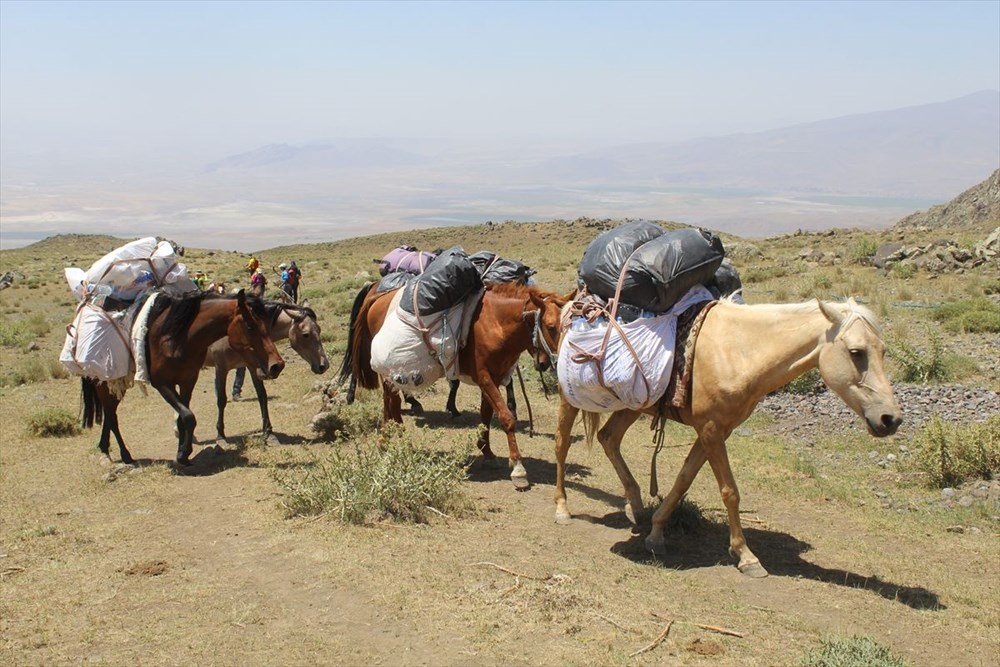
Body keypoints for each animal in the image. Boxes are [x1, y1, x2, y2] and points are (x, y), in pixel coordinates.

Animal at [81, 290, 286, 468]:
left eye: (268, 325)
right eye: (250, 326)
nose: (277, 365)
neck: (178, 339)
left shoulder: (188, 381)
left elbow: (183, 416)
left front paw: (183, 452)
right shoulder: (163, 383)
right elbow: (189, 416)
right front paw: (183, 454)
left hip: (117, 386)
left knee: (110, 414)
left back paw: (105, 449)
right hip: (104, 384)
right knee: (111, 416)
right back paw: (124, 455)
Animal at [205, 302, 330, 444]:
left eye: (319, 330)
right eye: (305, 334)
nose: (324, 365)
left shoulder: (251, 366)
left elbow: (262, 396)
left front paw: (269, 433)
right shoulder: (221, 368)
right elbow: (221, 400)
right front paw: (220, 436)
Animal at [340, 282, 572, 490]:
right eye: (551, 327)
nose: (550, 363)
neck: (496, 322)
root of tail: (377, 297)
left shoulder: (494, 378)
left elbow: (486, 414)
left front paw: (487, 452)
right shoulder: (484, 377)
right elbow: (506, 417)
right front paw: (517, 467)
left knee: (390, 400)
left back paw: (393, 436)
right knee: (391, 399)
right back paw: (390, 438)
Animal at [552, 298, 904, 580]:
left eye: (883, 351)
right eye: (856, 352)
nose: (891, 419)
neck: (741, 351)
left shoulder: (716, 430)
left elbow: (683, 480)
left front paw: (655, 533)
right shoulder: (710, 429)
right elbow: (730, 491)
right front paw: (746, 556)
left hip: (633, 404)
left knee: (609, 438)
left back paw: (636, 509)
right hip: (570, 398)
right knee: (562, 444)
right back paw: (563, 509)